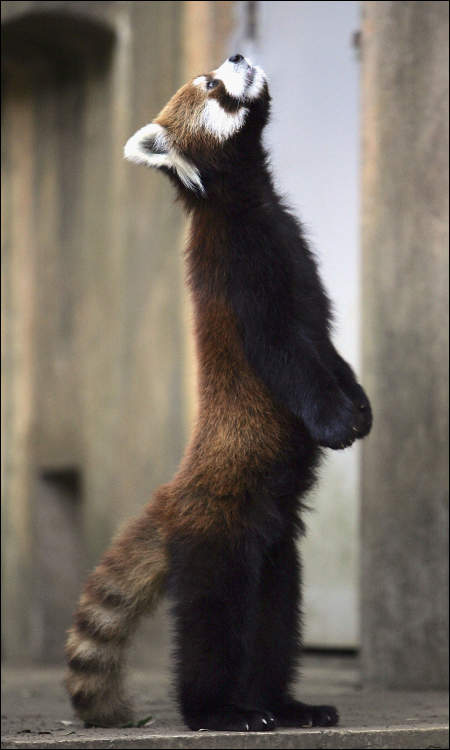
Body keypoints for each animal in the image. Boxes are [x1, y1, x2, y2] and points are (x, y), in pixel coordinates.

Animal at [64, 54, 372, 736]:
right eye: (208, 85)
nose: (234, 58)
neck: (251, 200)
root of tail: (175, 497)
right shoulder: (242, 272)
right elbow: (289, 356)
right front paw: (335, 421)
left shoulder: (298, 260)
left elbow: (329, 352)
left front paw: (360, 405)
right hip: (218, 538)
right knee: (213, 624)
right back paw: (219, 711)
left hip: (277, 550)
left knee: (275, 622)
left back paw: (285, 705)